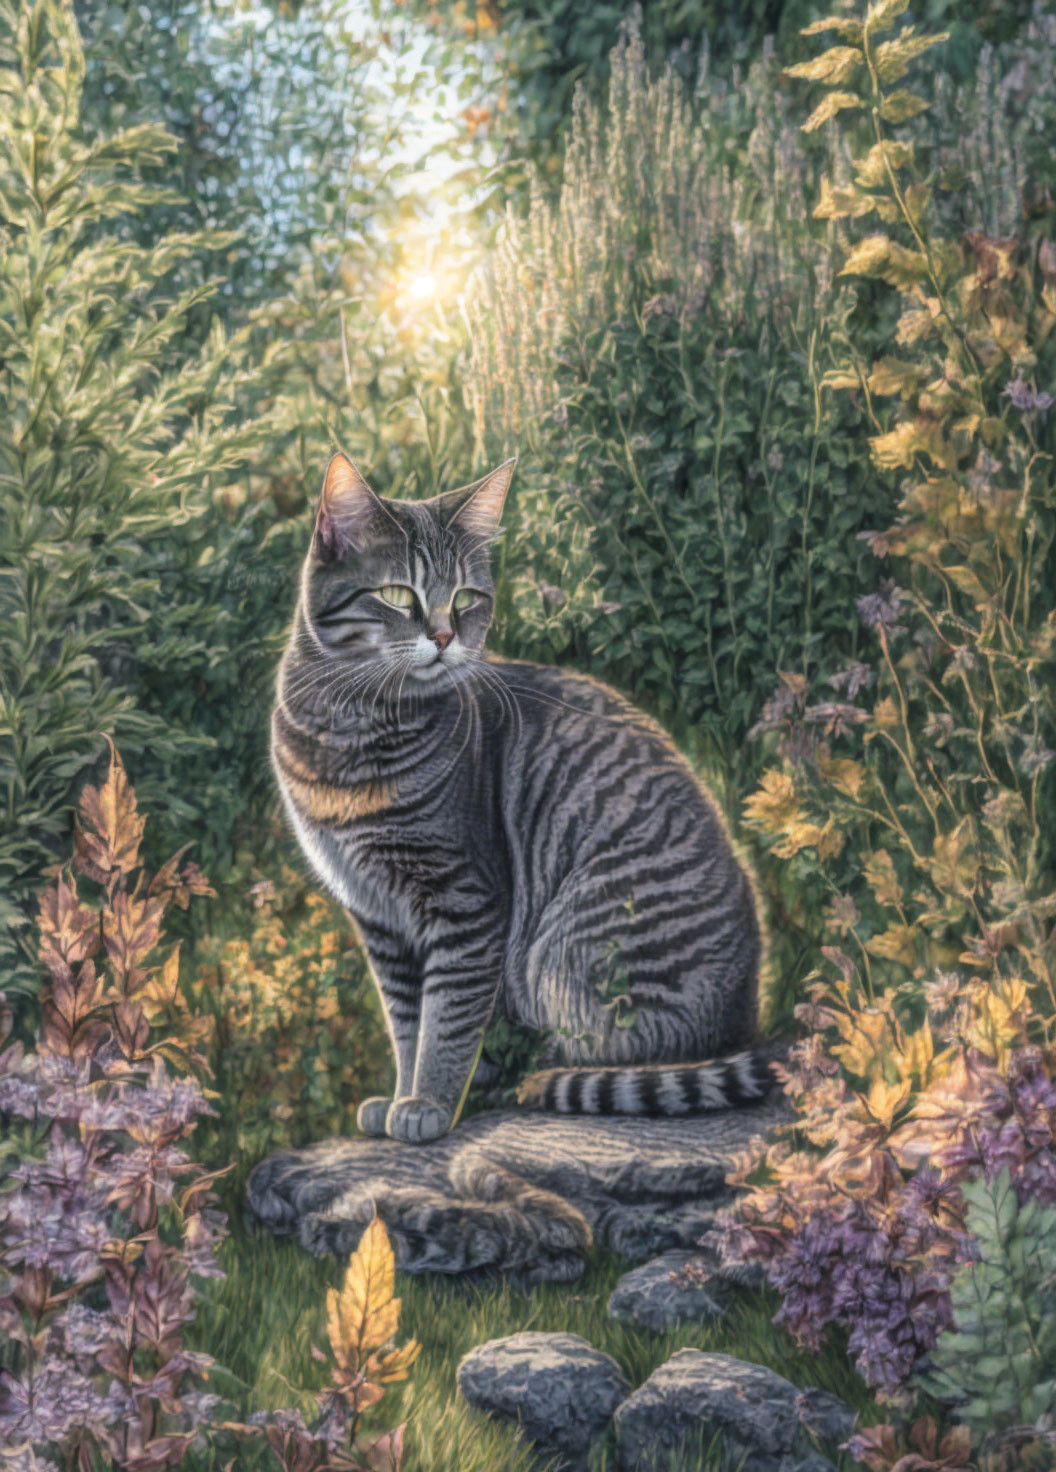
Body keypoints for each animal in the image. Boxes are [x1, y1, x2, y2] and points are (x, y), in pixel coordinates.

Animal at [272, 453, 765, 1142]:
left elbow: (445, 1022)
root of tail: (746, 1015)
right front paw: (400, 1097)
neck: (347, 731)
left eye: (466, 599)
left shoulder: (465, 900)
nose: (445, 636)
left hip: (566, 946)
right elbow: (405, 1023)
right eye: (398, 595)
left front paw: (427, 1104)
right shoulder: (380, 922)